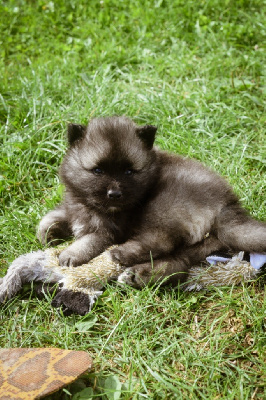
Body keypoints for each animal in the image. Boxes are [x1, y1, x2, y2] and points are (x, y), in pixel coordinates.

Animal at [38, 115, 266, 288]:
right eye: (98, 170)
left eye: (129, 172)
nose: (114, 194)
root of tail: (228, 206)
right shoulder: (75, 204)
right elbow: (58, 214)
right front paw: (48, 231)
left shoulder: (109, 230)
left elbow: (89, 240)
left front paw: (71, 253)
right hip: (203, 244)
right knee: (178, 265)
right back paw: (141, 275)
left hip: (163, 208)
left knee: (159, 241)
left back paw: (123, 254)